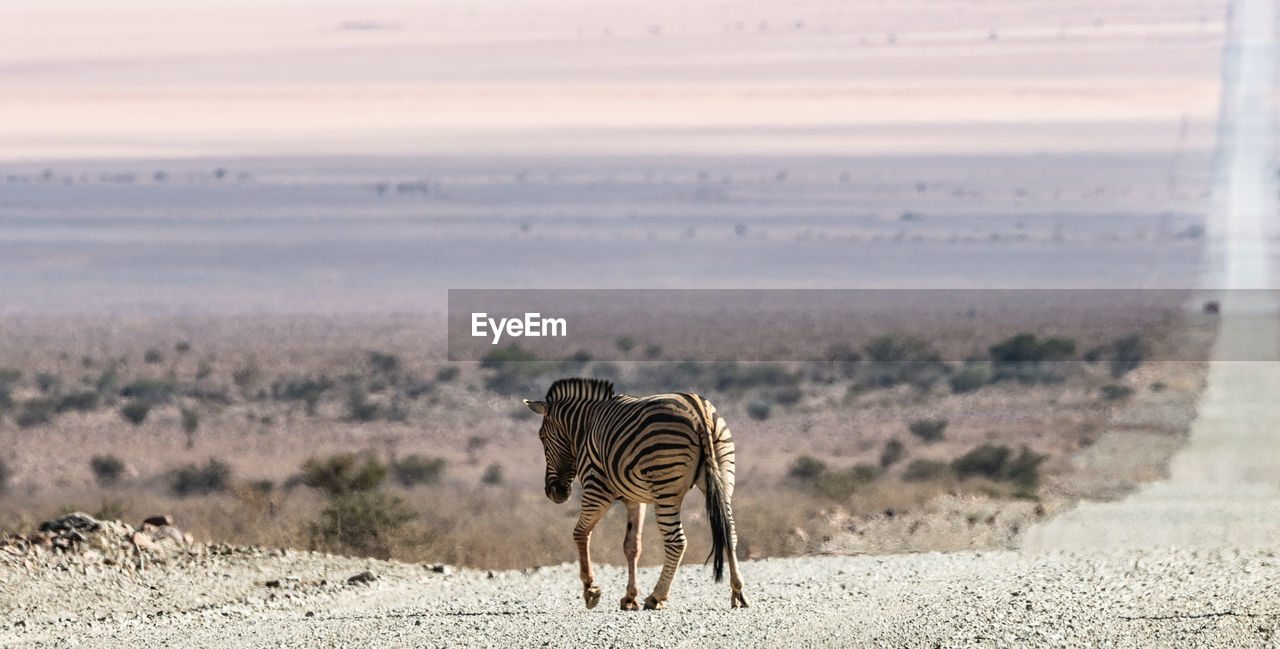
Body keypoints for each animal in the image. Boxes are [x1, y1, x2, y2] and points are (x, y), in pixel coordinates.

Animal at [522, 378, 747, 611]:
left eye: (541, 437)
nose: (553, 493)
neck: (586, 426)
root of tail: (699, 409)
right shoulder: (635, 499)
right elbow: (631, 546)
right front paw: (629, 597)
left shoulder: (597, 489)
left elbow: (580, 533)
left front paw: (590, 590)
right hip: (724, 476)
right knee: (730, 532)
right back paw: (737, 592)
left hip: (665, 488)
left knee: (677, 541)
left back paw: (656, 596)